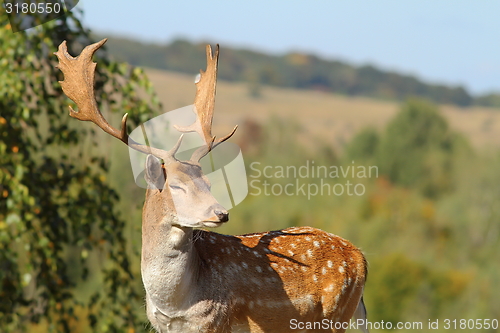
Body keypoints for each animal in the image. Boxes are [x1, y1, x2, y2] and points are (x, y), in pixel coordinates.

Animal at [54, 38, 370, 330]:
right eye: (176, 186)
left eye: (207, 181)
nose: (221, 213)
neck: (175, 305)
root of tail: (361, 258)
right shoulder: (162, 326)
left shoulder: (215, 320)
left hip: (336, 314)